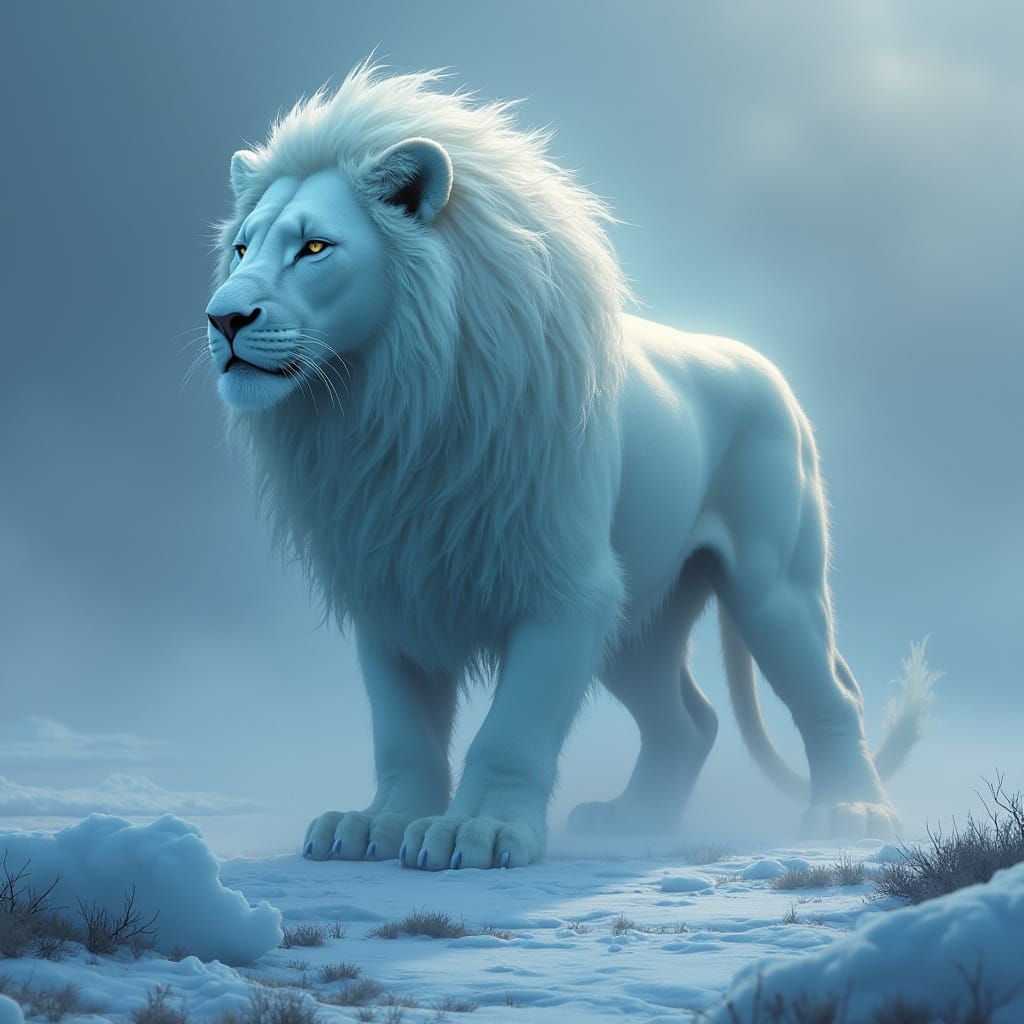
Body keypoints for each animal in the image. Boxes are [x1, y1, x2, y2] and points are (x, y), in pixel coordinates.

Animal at [204, 61, 934, 869]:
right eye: (242, 249)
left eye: (315, 249)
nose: (222, 318)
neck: (386, 412)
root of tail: (760, 362)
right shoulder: (393, 584)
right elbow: (403, 732)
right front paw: (378, 823)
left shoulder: (566, 587)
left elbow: (513, 729)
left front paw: (477, 831)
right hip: (641, 616)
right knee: (690, 721)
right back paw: (637, 819)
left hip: (774, 586)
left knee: (832, 695)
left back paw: (852, 812)